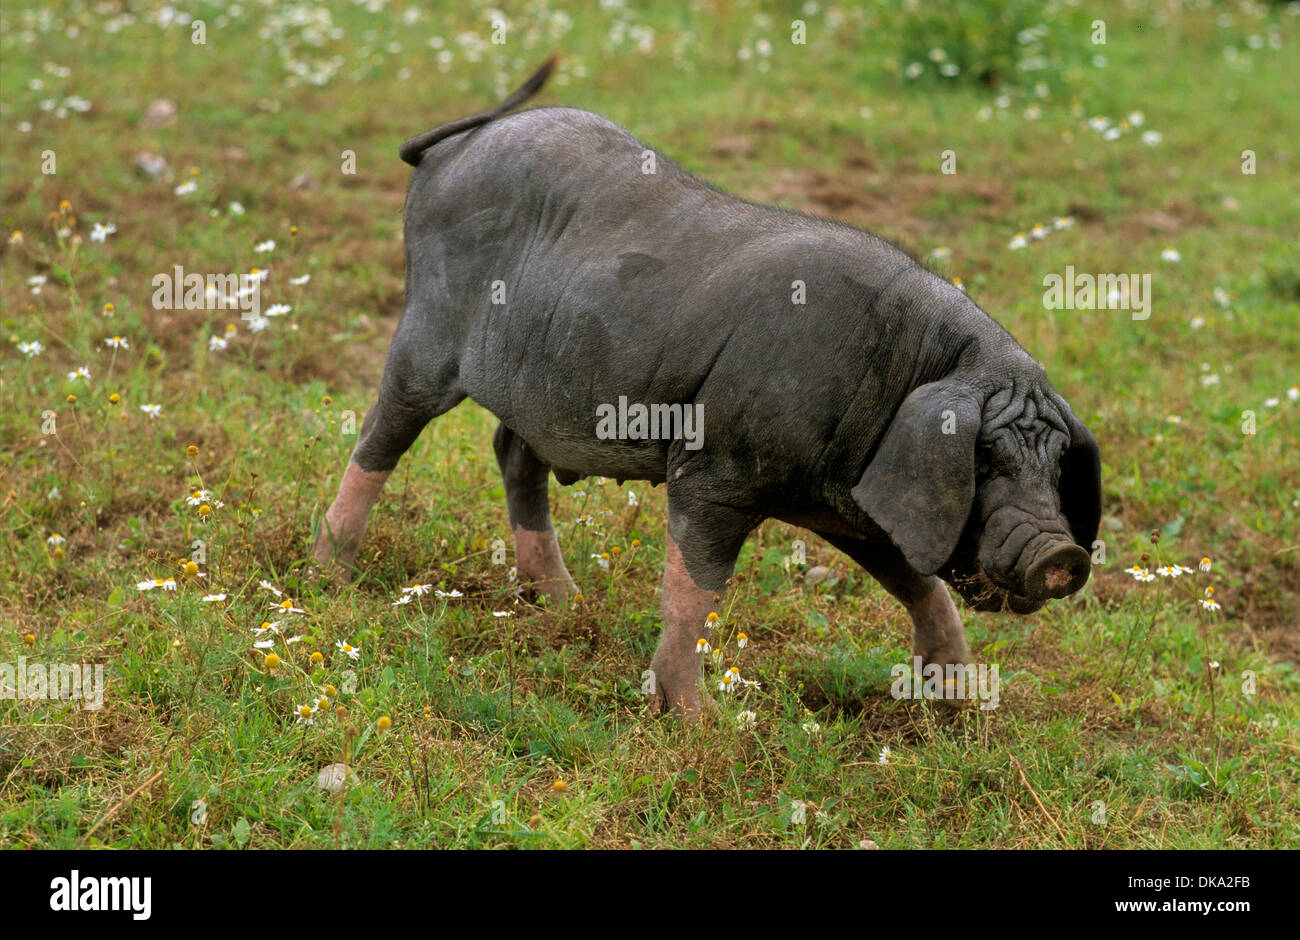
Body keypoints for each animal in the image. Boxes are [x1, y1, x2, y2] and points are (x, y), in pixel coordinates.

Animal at [312, 56, 1097, 722]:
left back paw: (566, 604)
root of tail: (455, 144)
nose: (1060, 554)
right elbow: (696, 589)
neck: (899, 375)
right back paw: (332, 577)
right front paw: (693, 722)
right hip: (428, 332)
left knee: (512, 452)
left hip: (542, 380)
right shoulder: (716, 469)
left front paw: (960, 707)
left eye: (1058, 463)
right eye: (984, 458)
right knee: (382, 432)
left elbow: (919, 582)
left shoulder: (851, 503)